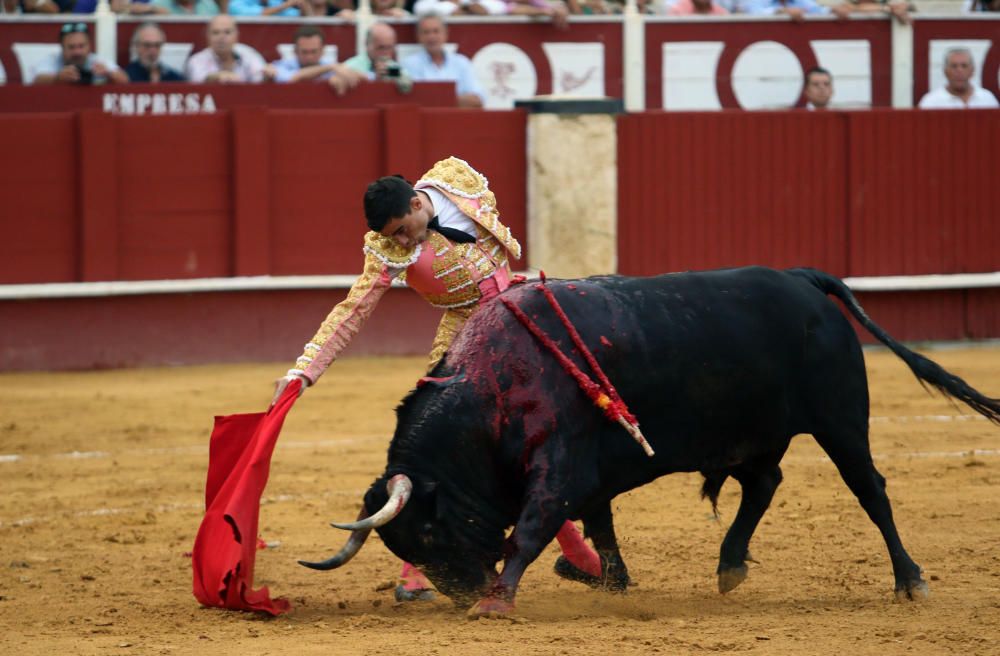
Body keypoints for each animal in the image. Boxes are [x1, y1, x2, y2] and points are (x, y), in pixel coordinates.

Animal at [298, 266, 1000, 616]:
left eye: (427, 529)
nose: (467, 593)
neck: (494, 384)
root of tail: (803, 279)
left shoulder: (560, 463)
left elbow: (534, 526)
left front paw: (498, 604)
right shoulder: (588, 468)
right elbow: (598, 521)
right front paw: (608, 579)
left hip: (841, 421)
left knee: (870, 491)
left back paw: (910, 582)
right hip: (752, 433)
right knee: (764, 483)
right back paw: (730, 564)